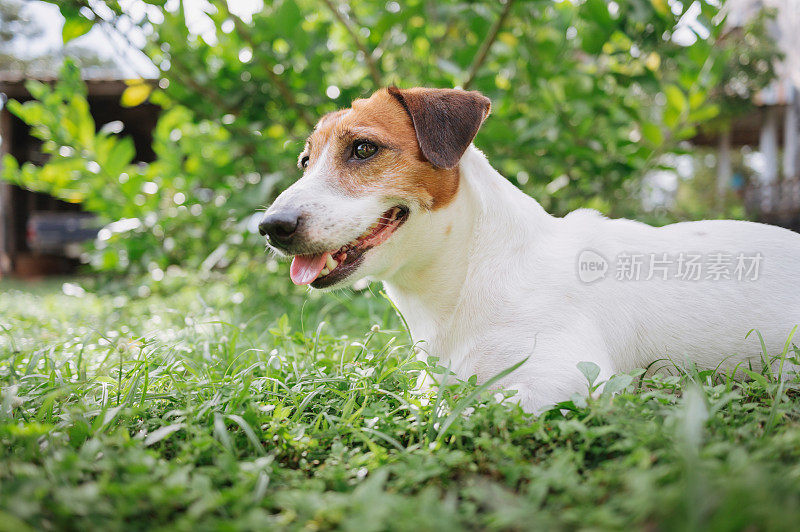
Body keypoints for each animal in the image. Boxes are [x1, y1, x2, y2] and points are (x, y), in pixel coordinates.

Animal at [258, 86, 800, 412]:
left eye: (364, 149)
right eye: (305, 161)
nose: (271, 226)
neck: (468, 275)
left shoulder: (571, 380)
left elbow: (467, 406)